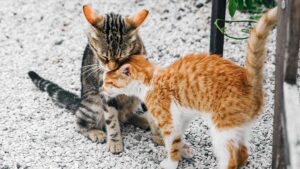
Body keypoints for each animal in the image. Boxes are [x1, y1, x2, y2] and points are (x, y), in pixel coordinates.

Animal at [28, 4, 162, 154]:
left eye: (122, 57)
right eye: (103, 57)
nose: (111, 68)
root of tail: (80, 102)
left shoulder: (144, 85)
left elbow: (150, 113)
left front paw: (159, 136)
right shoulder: (106, 93)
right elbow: (111, 120)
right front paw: (115, 142)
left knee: (125, 115)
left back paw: (141, 120)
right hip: (93, 105)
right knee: (81, 123)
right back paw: (95, 132)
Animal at [102, 7, 276, 169]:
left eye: (107, 82)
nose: (101, 89)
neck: (150, 81)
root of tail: (249, 80)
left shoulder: (168, 122)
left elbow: (172, 144)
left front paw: (172, 162)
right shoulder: (180, 117)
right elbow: (177, 139)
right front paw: (184, 150)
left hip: (222, 130)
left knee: (233, 158)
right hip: (239, 129)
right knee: (244, 153)